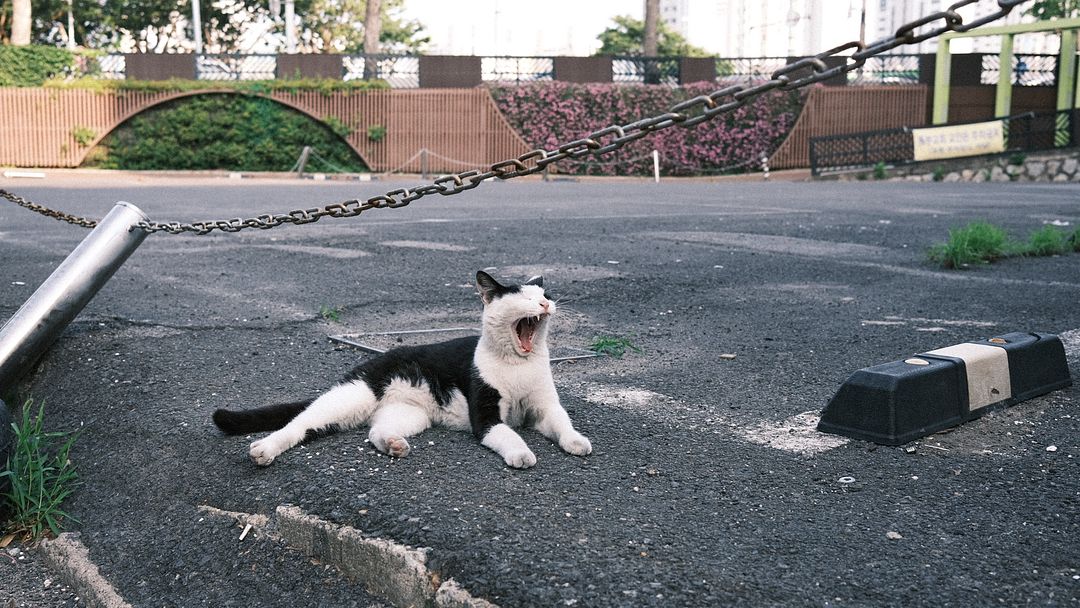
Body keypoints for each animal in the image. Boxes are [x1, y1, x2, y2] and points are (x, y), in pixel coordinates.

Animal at [212, 272, 591, 470]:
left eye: (545, 293)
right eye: (523, 297)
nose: (545, 303)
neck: (518, 365)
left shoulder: (544, 407)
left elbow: (561, 421)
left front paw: (576, 441)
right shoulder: (485, 415)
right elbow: (507, 434)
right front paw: (521, 454)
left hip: (410, 414)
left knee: (374, 430)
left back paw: (393, 444)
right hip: (351, 397)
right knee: (299, 424)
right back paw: (264, 449)